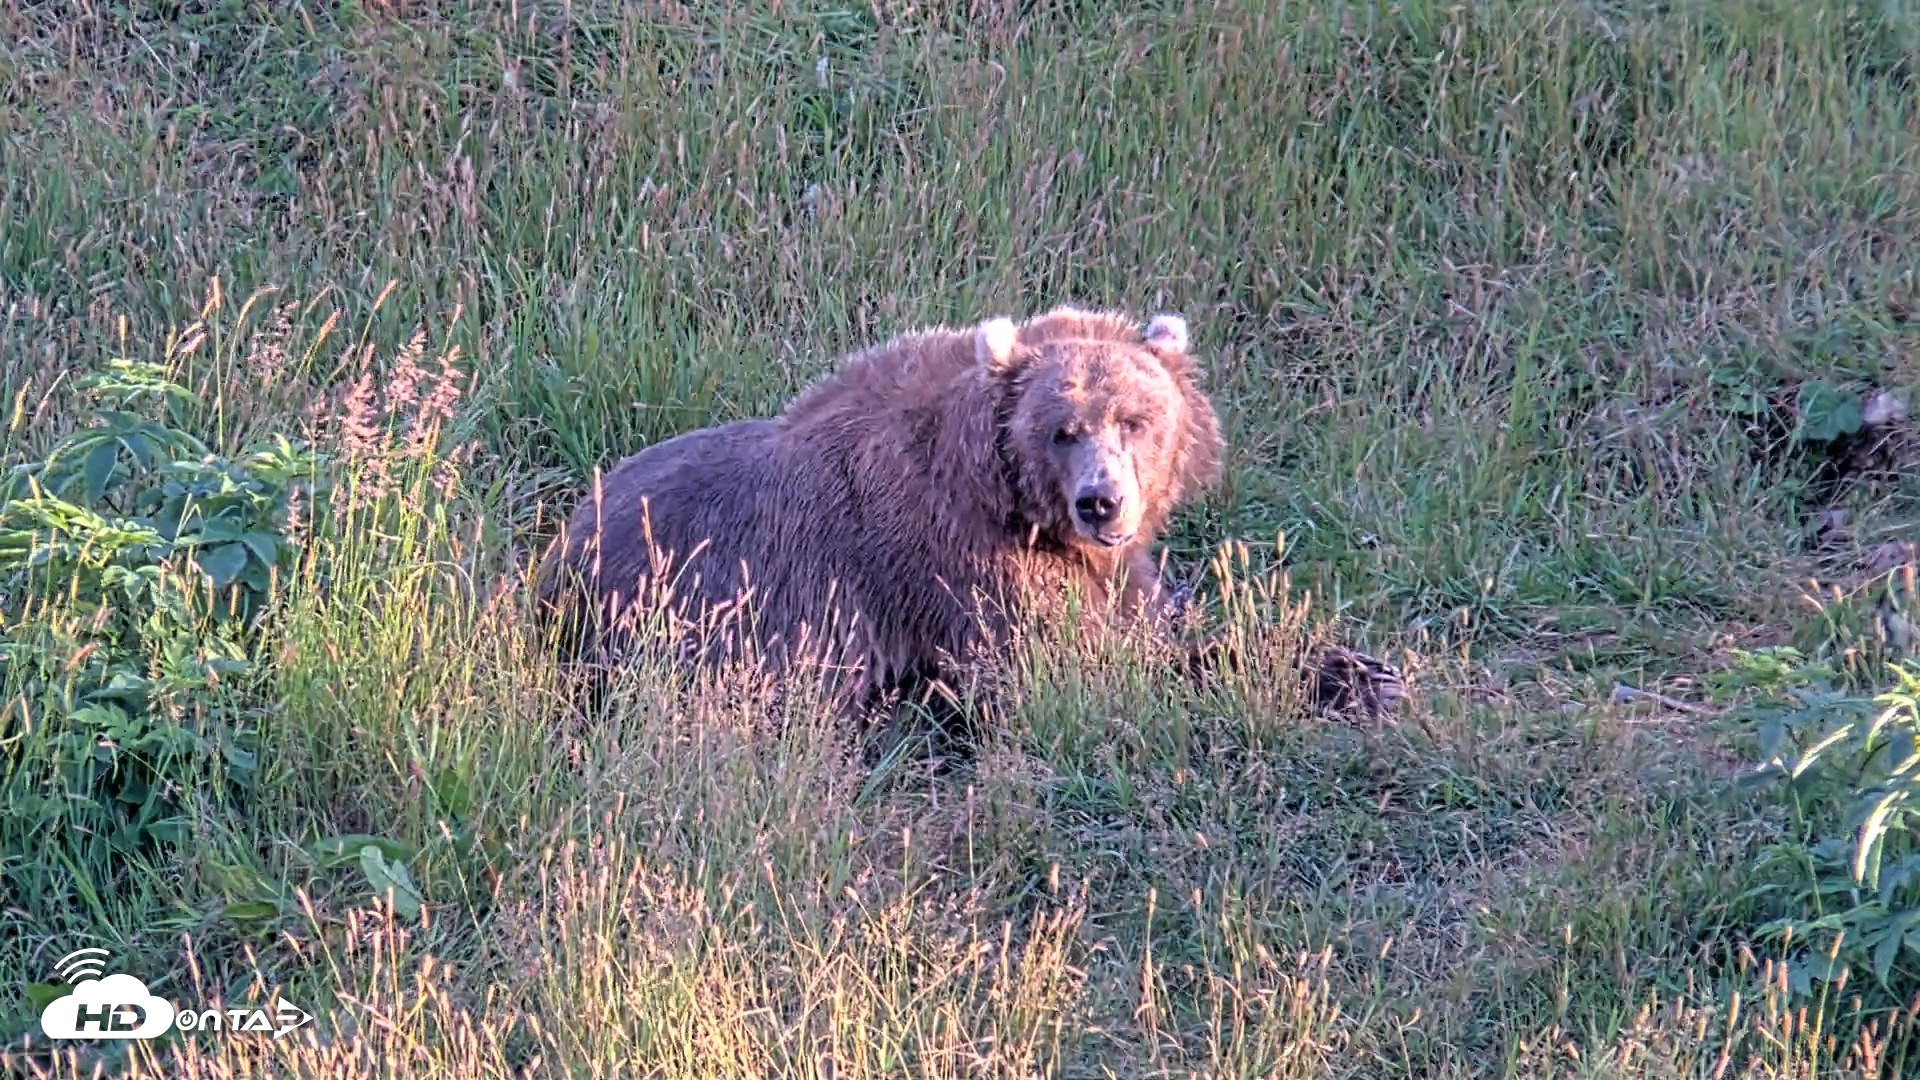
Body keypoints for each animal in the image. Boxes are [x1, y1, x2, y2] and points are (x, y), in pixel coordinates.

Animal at [533, 304, 1404, 721]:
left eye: (1134, 419)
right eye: (1063, 428)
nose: (1101, 501)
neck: (1013, 499)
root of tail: (556, 557)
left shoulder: (1107, 569)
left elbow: (1148, 616)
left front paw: (1359, 666)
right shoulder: (959, 566)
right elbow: (1067, 668)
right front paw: (1353, 677)